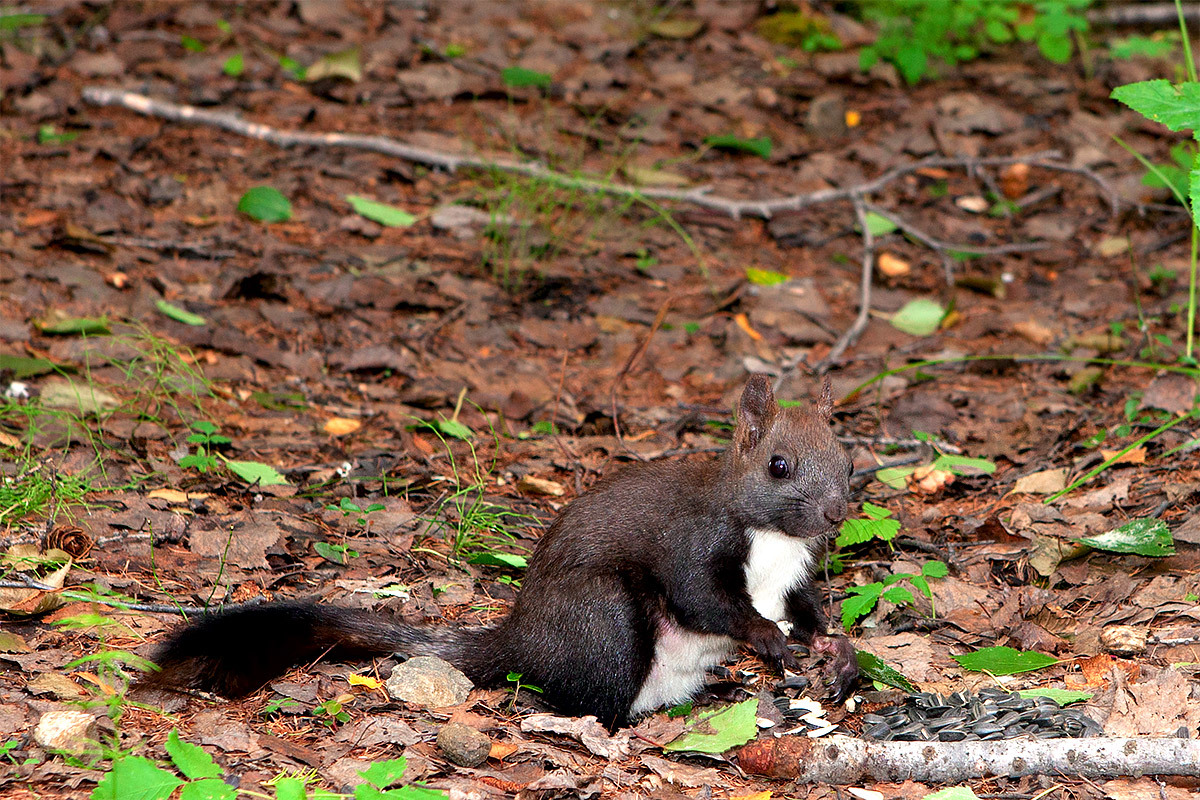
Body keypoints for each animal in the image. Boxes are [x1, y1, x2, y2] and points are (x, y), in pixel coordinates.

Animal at [147, 376, 854, 734]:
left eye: (848, 461)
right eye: (778, 465)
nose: (834, 513)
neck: (774, 538)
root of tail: (525, 643)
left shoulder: (791, 580)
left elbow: (806, 610)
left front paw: (835, 652)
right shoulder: (692, 544)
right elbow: (706, 600)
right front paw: (769, 639)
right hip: (602, 616)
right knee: (586, 697)